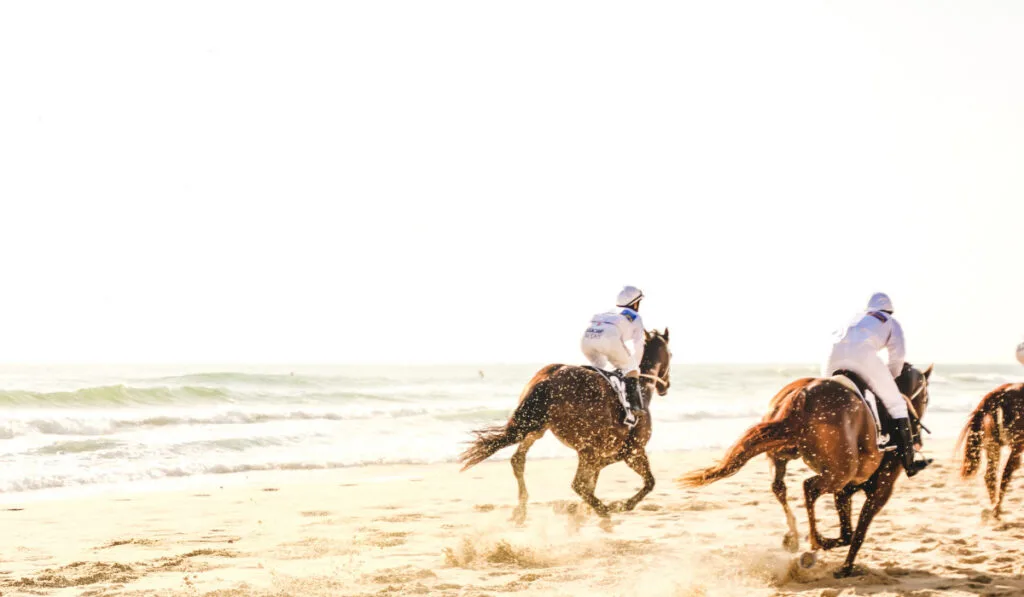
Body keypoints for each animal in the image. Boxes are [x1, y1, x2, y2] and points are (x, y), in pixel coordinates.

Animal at [458, 331, 671, 528]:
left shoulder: (608, 453)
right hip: (584, 446)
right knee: (577, 484)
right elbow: (649, 482)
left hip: (538, 428)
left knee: (518, 460)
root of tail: (548, 378)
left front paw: (581, 511)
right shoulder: (633, 451)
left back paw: (522, 511)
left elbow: (596, 479)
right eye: (671, 353)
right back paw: (604, 512)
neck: (641, 388)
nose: (666, 386)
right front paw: (618, 506)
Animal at [679, 362, 929, 577]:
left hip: (783, 452)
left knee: (779, 486)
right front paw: (845, 567)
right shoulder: (878, 491)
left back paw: (795, 538)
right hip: (838, 474)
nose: (918, 437)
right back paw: (813, 543)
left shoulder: (846, 490)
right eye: (926, 397)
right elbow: (857, 534)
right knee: (809, 487)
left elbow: (848, 533)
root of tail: (802, 396)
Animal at [954, 382, 1024, 518]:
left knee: (991, 476)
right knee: (1005, 474)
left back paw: (995, 508)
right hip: (1014, 445)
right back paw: (997, 509)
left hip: (993, 444)